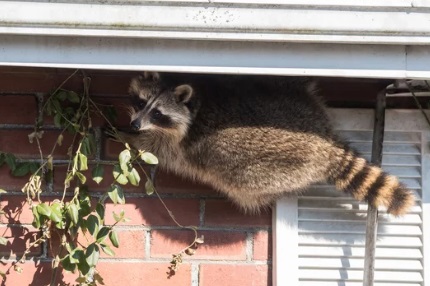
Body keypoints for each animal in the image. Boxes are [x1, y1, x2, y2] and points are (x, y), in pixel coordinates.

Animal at [116, 71, 414, 214]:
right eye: (141, 102)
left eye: (158, 113)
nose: (135, 125)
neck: (196, 102)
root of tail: (325, 146)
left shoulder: (180, 145)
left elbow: (158, 150)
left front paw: (128, 137)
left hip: (264, 169)